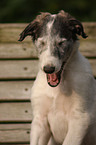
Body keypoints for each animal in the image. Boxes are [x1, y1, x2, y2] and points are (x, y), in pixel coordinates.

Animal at [18, 10, 96, 145]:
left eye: (61, 43)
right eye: (42, 43)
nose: (48, 69)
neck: (59, 88)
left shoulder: (80, 118)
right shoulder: (40, 120)